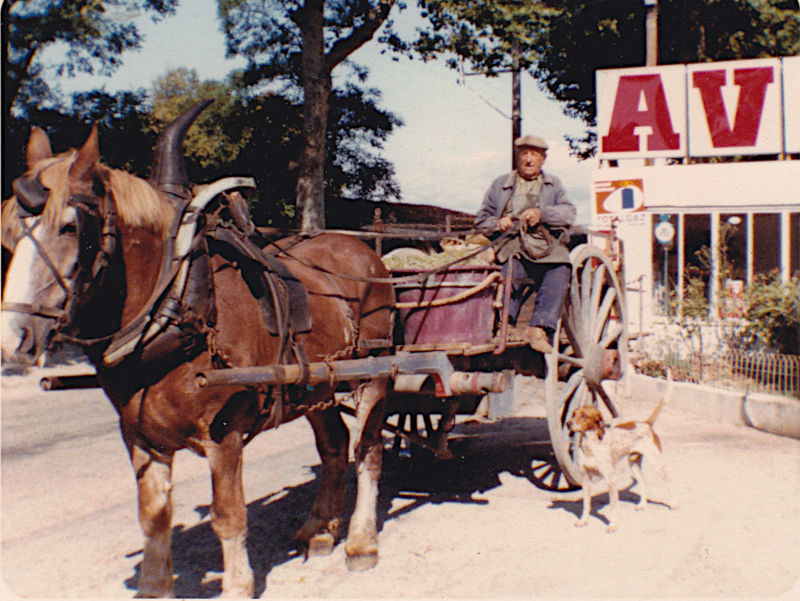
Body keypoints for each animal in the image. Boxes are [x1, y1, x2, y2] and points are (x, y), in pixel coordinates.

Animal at [1, 105, 396, 596]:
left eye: (72, 227)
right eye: (9, 234)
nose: (13, 338)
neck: (179, 304)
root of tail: (365, 252)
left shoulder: (223, 435)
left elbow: (229, 517)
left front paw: (238, 584)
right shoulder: (139, 437)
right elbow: (153, 517)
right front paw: (154, 585)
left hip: (373, 375)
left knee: (368, 451)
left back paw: (361, 543)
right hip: (316, 386)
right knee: (335, 446)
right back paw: (319, 531)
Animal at [564, 372, 680, 532]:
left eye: (584, 416)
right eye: (574, 414)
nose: (568, 423)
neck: (590, 446)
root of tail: (646, 423)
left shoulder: (610, 479)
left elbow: (613, 506)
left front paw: (613, 525)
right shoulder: (586, 478)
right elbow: (586, 504)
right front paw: (583, 521)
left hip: (657, 463)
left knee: (668, 481)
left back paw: (673, 503)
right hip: (634, 464)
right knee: (644, 481)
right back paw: (642, 504)